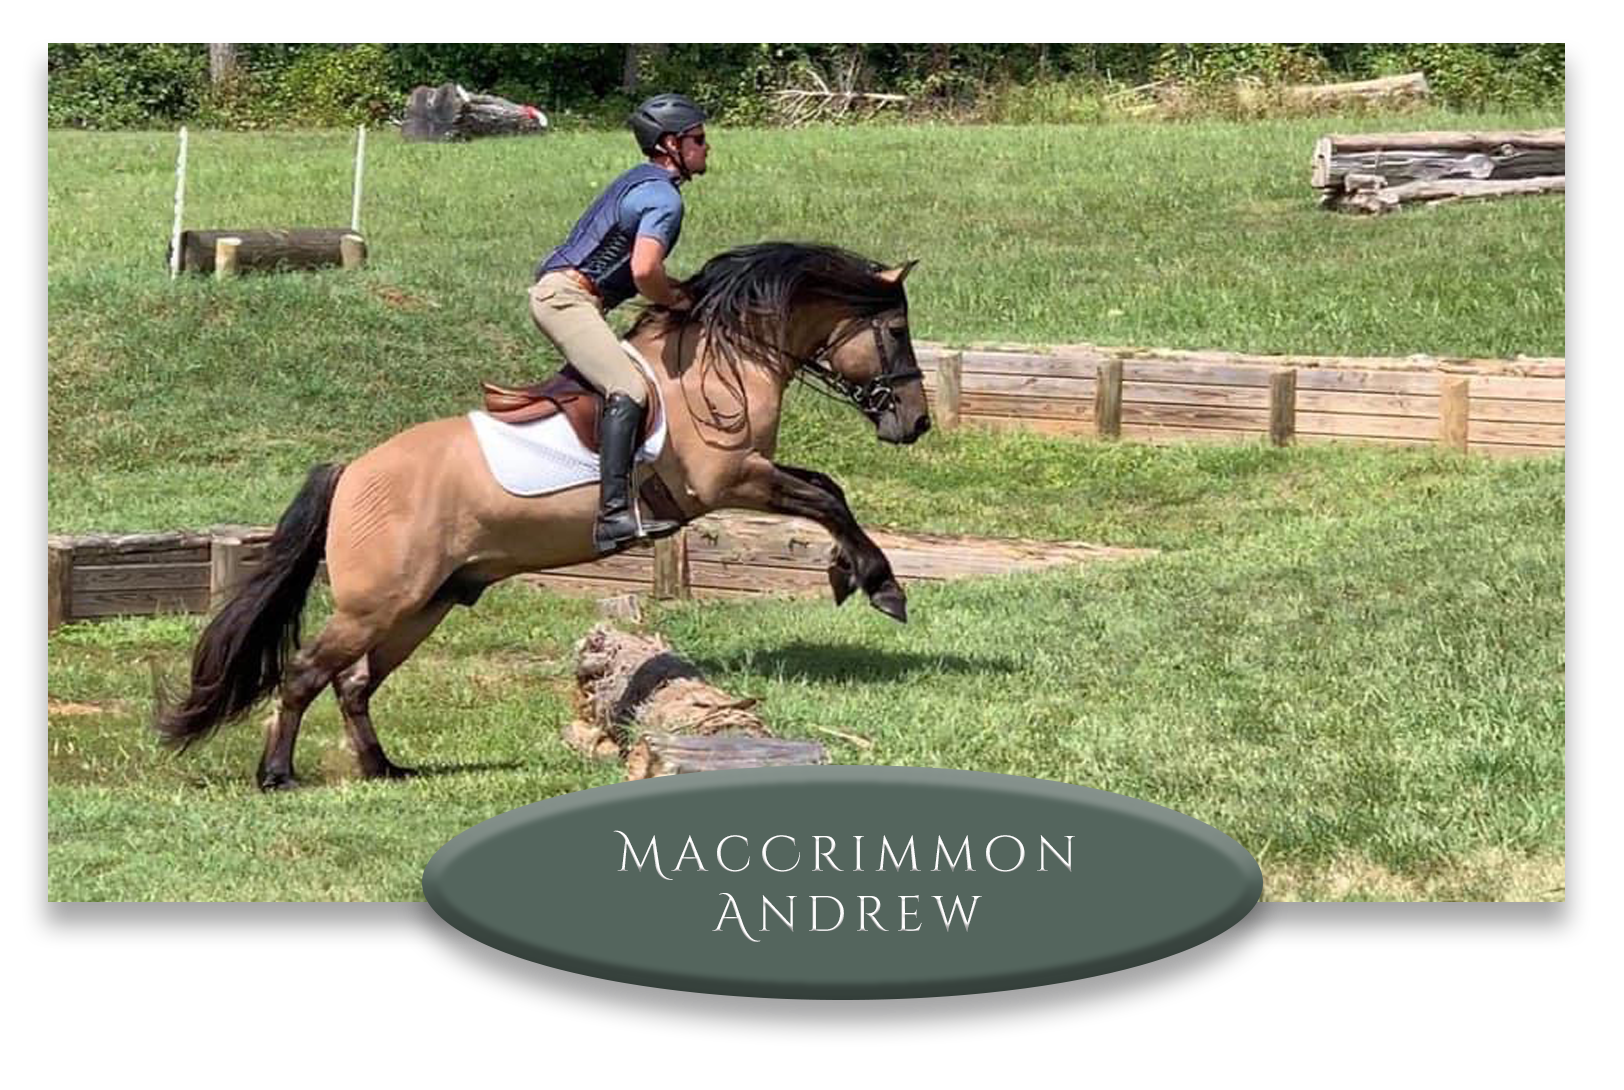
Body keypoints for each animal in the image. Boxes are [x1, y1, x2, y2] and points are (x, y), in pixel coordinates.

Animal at [153, 241, 931, 789]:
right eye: (895, 330)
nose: (917, 423)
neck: (723, 361)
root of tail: (354, 472)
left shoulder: (748, 474)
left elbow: (826, 488)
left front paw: (847, 575)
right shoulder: (727, 479)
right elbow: (826, 496)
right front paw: (881, 586)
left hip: (424, 604)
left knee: (354, 683)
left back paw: (384, 769)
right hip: (381, 602)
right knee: (306, 673)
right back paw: (277, 774)